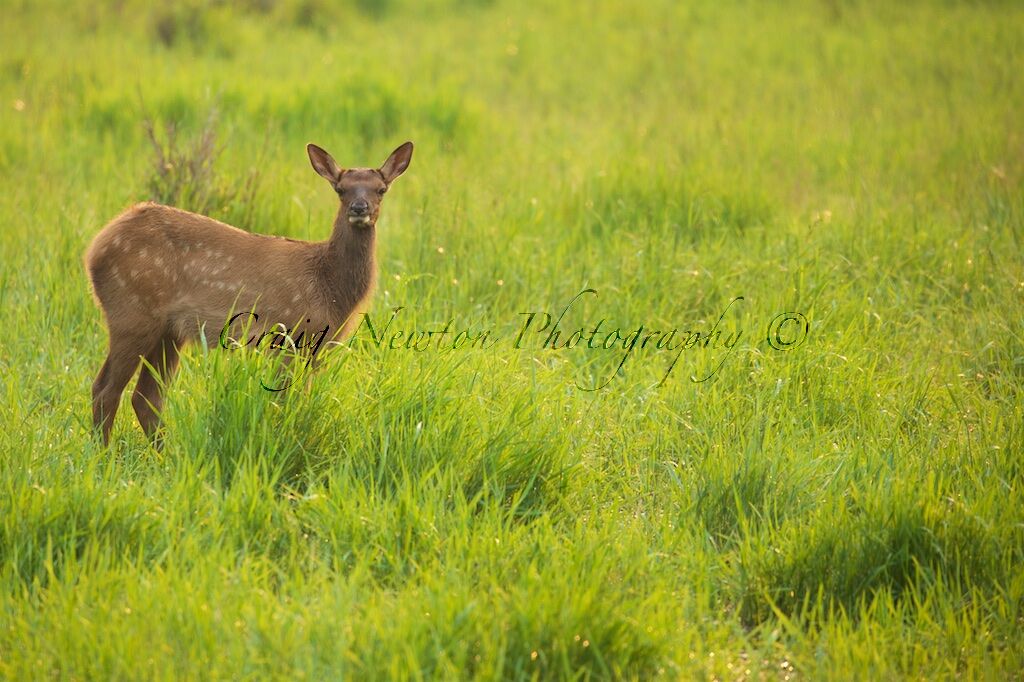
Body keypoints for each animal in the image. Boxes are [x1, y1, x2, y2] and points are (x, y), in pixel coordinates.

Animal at [85, 141, 413, 446]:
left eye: (381, 189)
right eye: (341, 189)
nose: (359, 209)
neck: (328, 286)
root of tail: (94, 248)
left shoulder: (314, 350)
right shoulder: (287, 338)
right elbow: (285, 403)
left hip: (169, 331)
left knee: (146, 396)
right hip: (132, 312)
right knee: (105, 388)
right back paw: (105, 454)